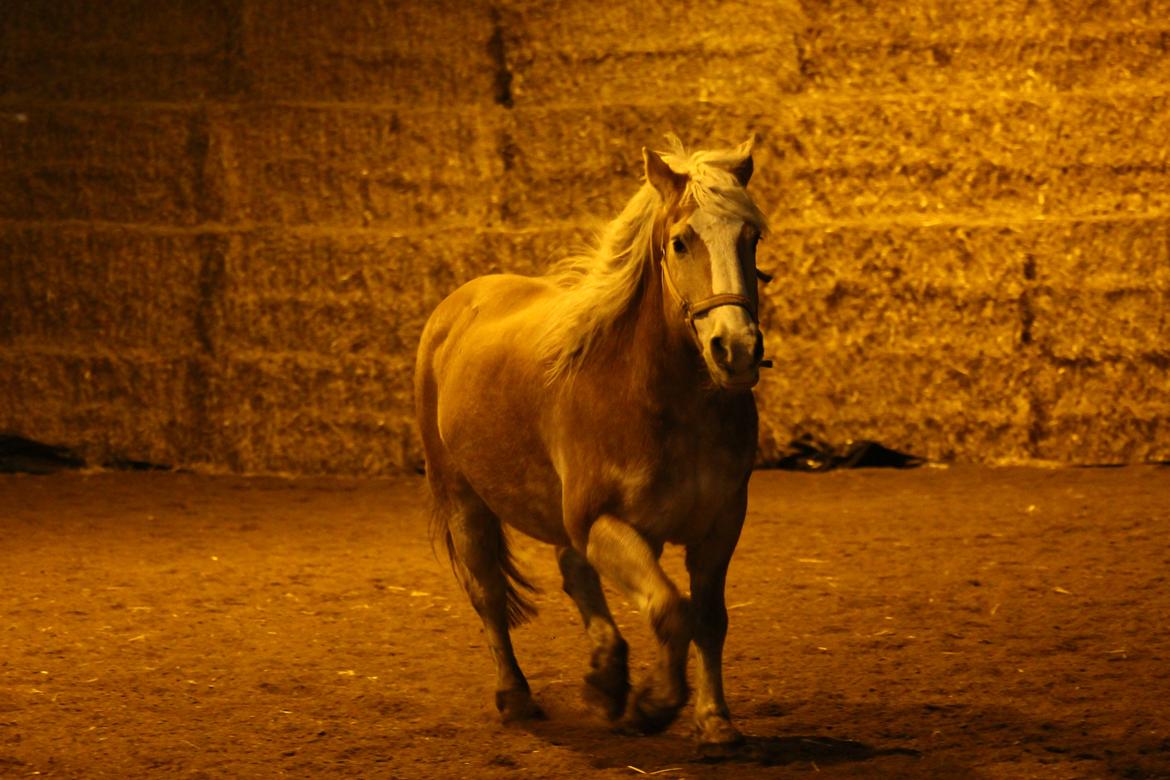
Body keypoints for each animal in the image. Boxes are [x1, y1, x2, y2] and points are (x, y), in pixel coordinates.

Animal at [411, 135, 767, 748]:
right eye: (681, 241)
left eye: (752, 238)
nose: (736, 350)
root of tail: (457, 305)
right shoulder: (605, 523)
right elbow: (671, 609)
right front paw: (654, 704)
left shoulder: (721, 524)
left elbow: (709, 617)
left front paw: (713, 719)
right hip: (462, 499)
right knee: (488, 593)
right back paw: (518, 697)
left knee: (572, 574)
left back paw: (606, 678)